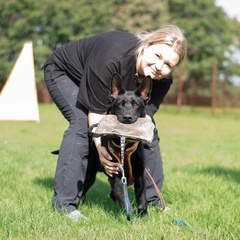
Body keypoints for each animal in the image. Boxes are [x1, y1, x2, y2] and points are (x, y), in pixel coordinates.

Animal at [84, 73, 152, 218]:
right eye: (120, 104)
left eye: (136, 104)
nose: (127, 117)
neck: (125, 144)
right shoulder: (115, 174)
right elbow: (124, 199)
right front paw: (132, 216)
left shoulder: (140, 175)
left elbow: (142, 197)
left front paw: (143, 215)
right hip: (90, 174)